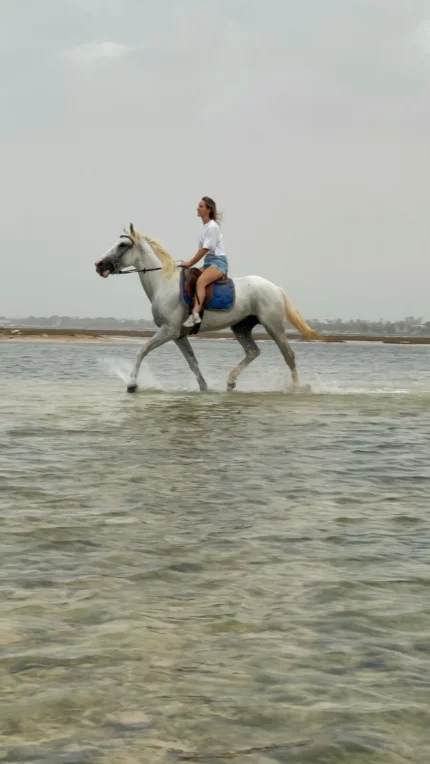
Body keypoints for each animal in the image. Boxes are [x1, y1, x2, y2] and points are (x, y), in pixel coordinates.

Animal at [95, 224, 322, 393]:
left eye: (123, 244)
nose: (99, 264)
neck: (164, 283)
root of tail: (274, 287)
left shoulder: (168, 331)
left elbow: (141, 350)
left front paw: (132, 385)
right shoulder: (179, 336)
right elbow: (193, 363)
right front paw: (204, 388)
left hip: (273, 325)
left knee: (288, 355)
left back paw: (296, 388)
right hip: (241, 327)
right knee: (253, 351)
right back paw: (230, 382)